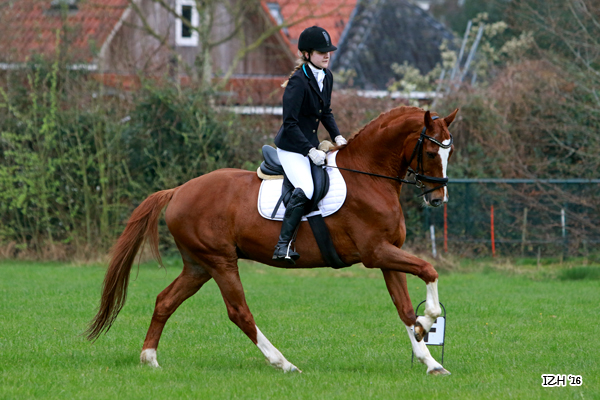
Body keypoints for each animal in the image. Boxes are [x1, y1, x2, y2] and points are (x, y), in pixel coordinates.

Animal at [86, 105, 458, 376]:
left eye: (448, 152)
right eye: (430, 151)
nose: (438, 198)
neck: (369, 176)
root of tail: (178, 190)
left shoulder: (387, 254)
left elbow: (404, 308)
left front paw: (430, 361)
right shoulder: (376, 252)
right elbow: (429, 271)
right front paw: (429, 323)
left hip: (198, 265)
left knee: (165, 301)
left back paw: (150, 358)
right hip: (220, 261)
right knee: (239, 312)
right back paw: (283, 363)